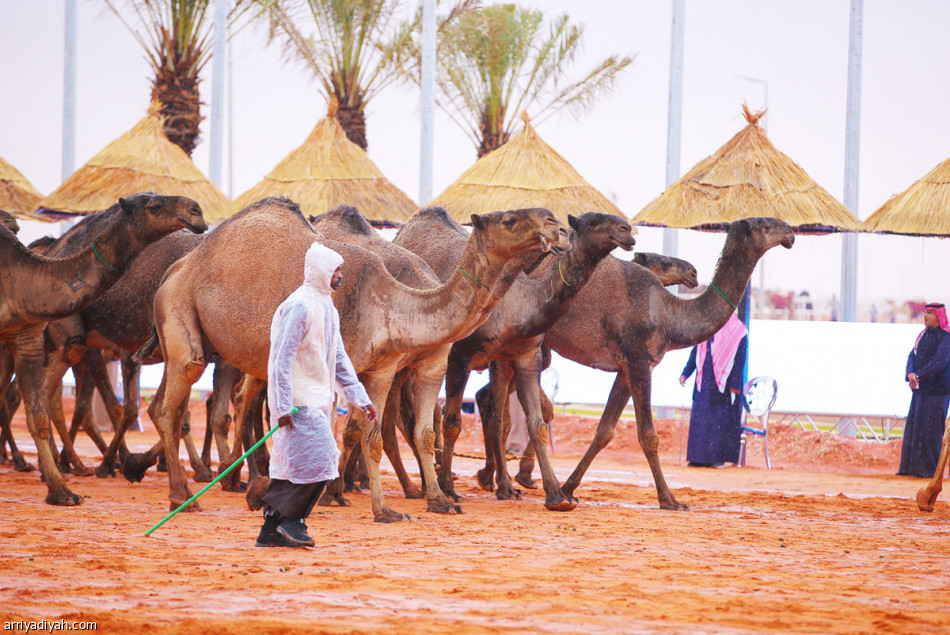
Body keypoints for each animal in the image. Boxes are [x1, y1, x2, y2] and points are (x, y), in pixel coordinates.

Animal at [134, 199, 564, 520]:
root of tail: (177, 268)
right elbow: (348, 432)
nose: (556, 223)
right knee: (176, 399)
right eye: (509, 219)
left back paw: (234, 485)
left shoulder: (395, 368)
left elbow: (405, 434)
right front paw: (359, 502)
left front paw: (432, 502)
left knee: (202, 404)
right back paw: (184, 495)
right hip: (180, 311)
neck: (387, 302)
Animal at [544, 219, 796, 512]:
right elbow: (649, 435)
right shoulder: (640, 361)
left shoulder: (627, 369)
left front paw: (567, 489)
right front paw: (670, 499)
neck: (668, 315)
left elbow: (604, 431)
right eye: (765, 225)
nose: (789, 232)